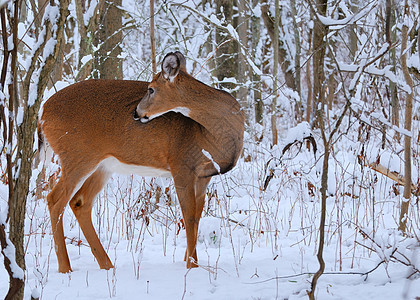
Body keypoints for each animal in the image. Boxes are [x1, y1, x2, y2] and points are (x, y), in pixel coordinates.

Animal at [41, 51, 244, 272]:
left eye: (151, 88)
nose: (136, 113)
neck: (209, 134)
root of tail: (43, 112)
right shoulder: (181, 165)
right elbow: (188, 217)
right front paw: (192, 266)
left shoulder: (204, 176)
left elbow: (197, 216)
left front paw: (190, 261)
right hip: (76, 156)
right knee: (54, 200)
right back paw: (65, 268)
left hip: (102, 165)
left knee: (79, 202)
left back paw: (107, 265)